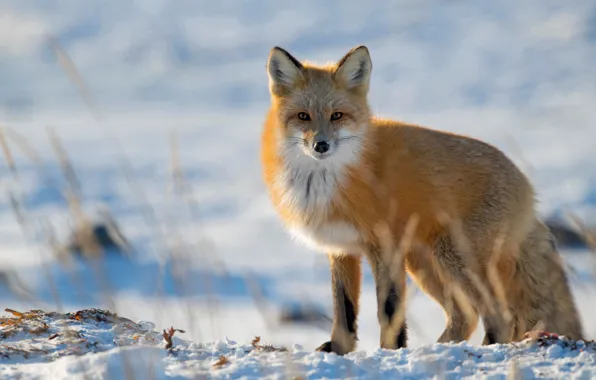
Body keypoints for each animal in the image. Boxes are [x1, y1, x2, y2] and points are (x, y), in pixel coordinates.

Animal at [260, 46, 584, 354]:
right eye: (303, 116)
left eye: (336, 115)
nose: (321, 145)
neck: (327, 183)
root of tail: (528, 190)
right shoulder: (341, 249)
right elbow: (344, 310)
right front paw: (340, 350)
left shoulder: (385, 246)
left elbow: (389, 310)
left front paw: (391, 352)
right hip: (426, 266)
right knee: (466, 317)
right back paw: (443, 348)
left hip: (453, 257)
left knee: (500, 316)